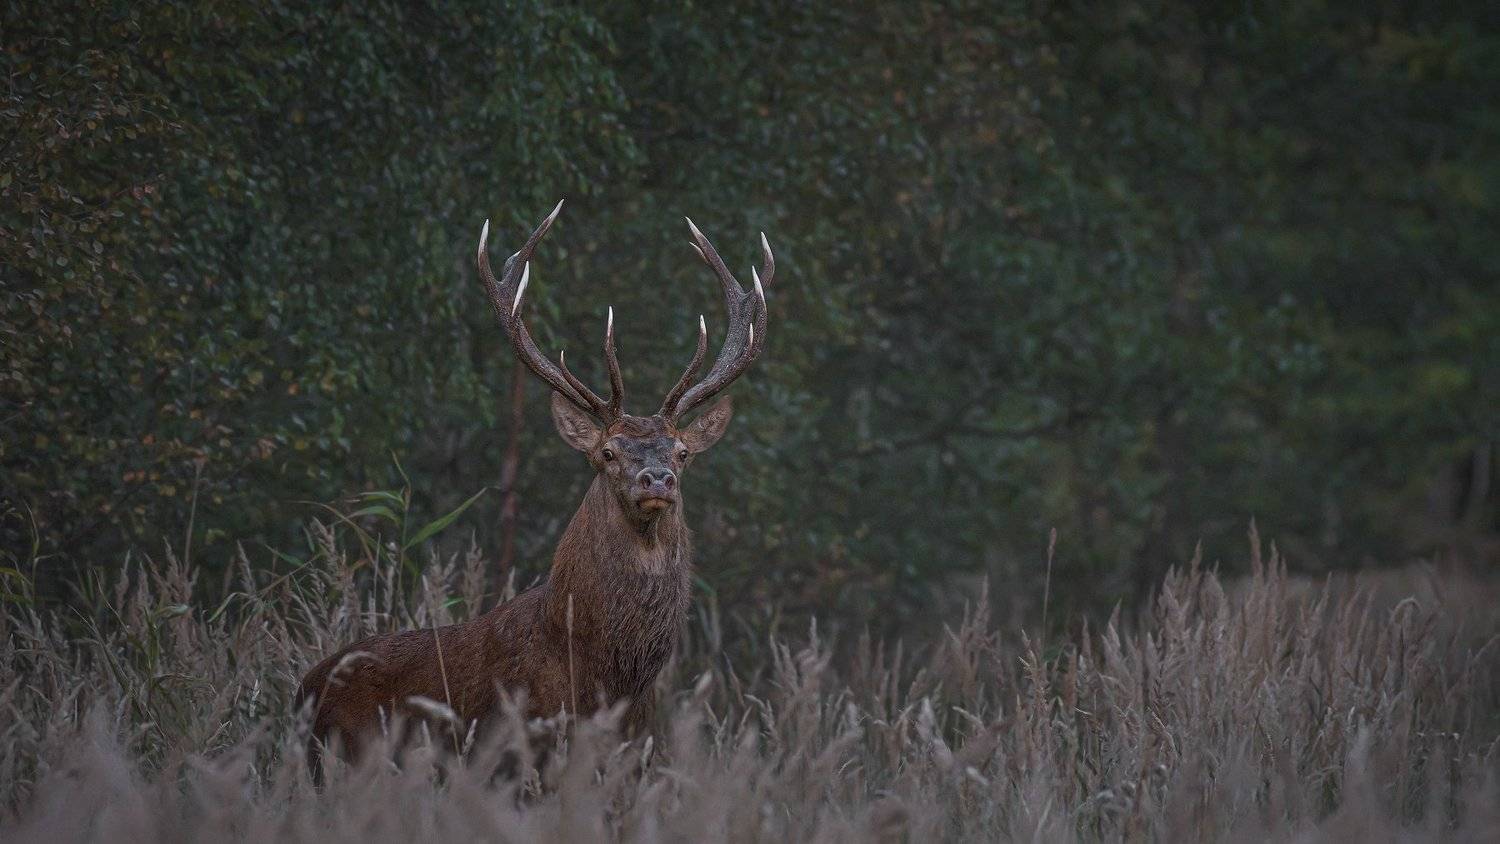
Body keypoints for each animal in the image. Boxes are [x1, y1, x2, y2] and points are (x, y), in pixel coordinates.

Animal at [295, 200, 774, 769]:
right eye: (607, 453)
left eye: (682, 453)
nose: (657, 478)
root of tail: (302, 689)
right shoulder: (521, 752)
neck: (602, 676)